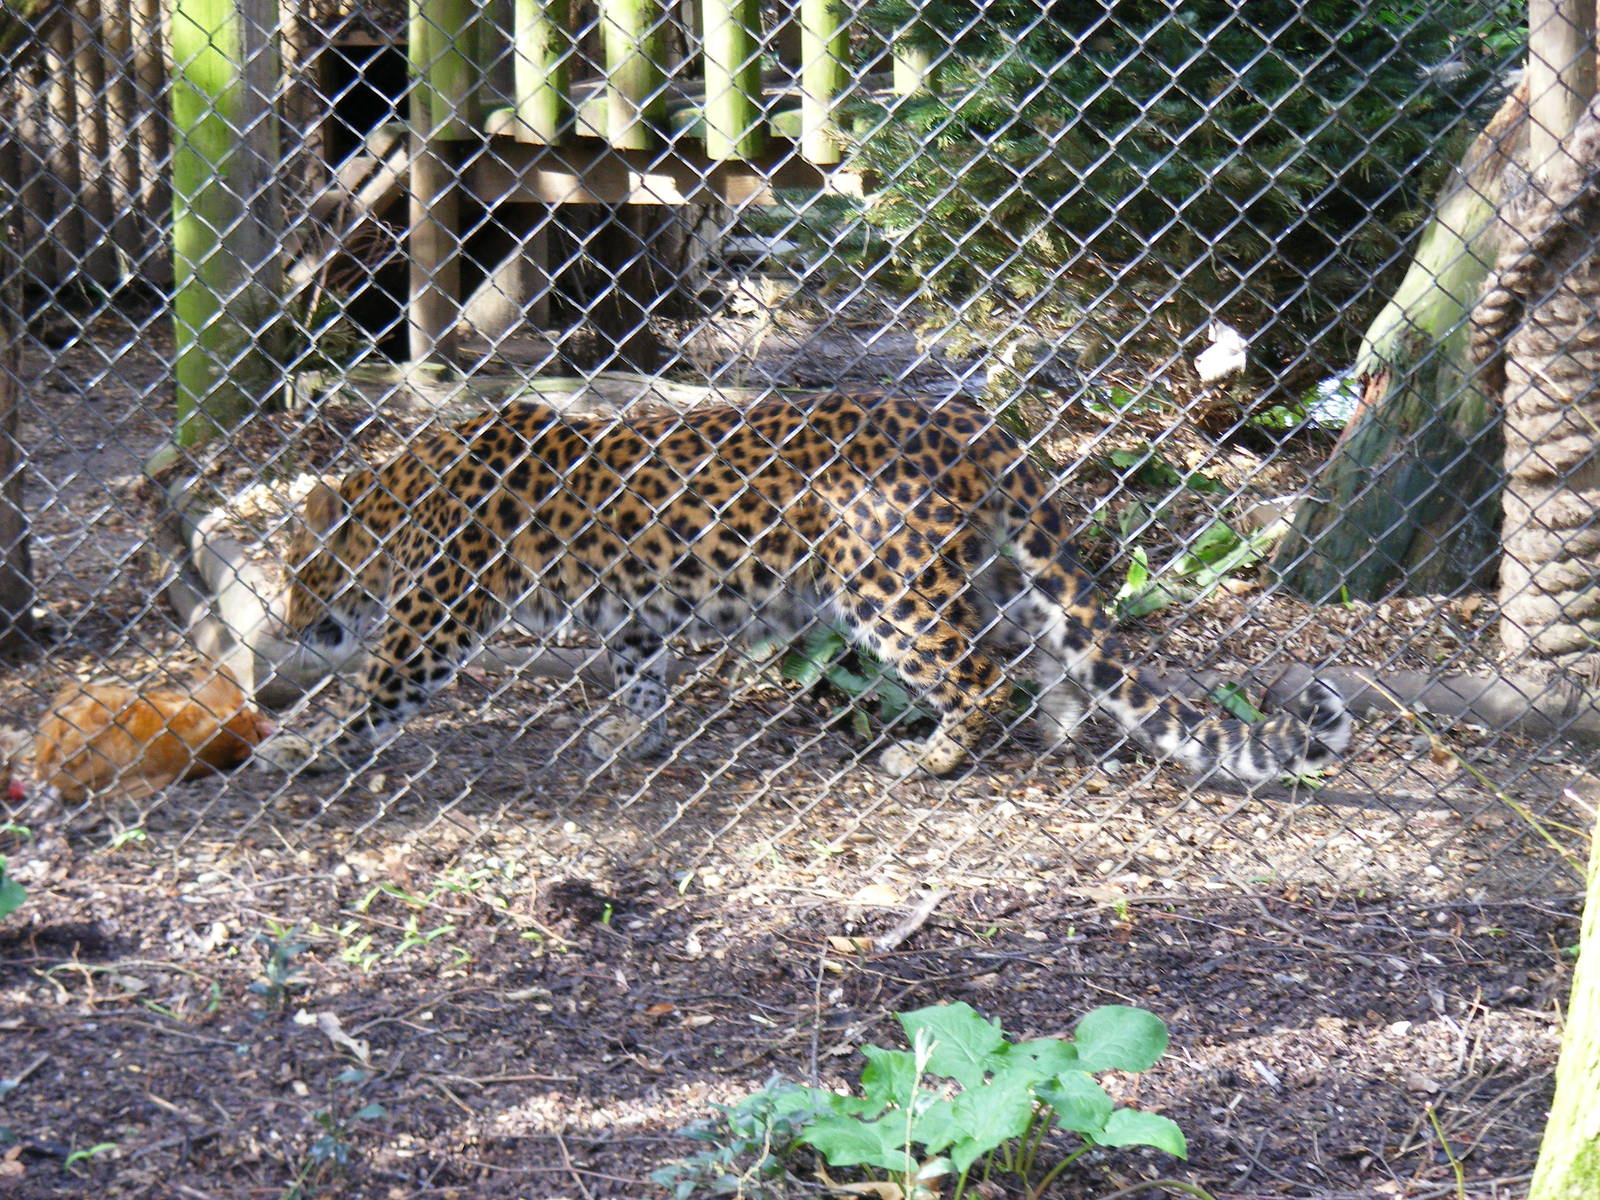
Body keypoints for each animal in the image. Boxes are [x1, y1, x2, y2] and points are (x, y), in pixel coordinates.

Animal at [257, 391, 1351, 782]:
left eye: (302, 571)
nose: (293, 623)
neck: (402, 496)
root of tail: (975, 425)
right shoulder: (634, 611)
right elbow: (640, 669)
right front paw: (631, 737)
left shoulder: (434, 620)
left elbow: (375, 689)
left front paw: (298, 747)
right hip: (991, 568)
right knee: (1050, 652)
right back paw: (1057, 731)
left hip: (890, 590)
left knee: (976, 675)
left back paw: (933, 758)